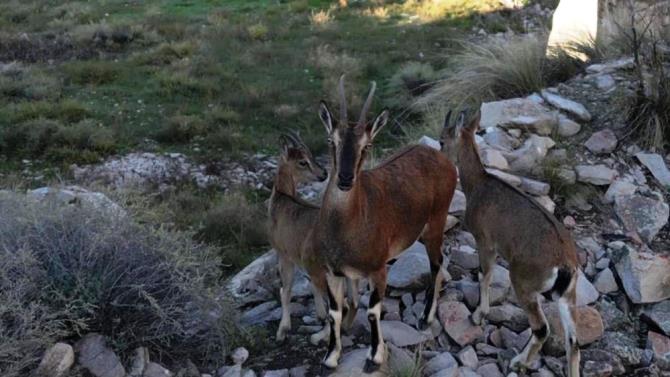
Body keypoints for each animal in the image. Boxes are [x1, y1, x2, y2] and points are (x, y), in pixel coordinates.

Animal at [270, 131, 360, 344]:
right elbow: (311, 288)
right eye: (303, 161)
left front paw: (282, 331)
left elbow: (286, 290)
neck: (281, 198)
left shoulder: (284, 254)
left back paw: (320, 337)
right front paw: (318, 315)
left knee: (340, 305)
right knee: (353, 302)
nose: (323, 174)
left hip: (324, 270)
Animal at [318, 76, 460, 370]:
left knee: (437, 262)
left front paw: (375, 356)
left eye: (367, 145)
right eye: (331, 140)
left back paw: (426, 317)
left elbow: (373, 311)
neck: (346, 227)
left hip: (437, 221)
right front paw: (331, 357)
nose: (345, 179)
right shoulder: (332, 271)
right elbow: (334, 312)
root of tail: (442, 157)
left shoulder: (378, 269)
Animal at [440, 110, 584, 374]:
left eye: (442, 141)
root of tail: (566, 265)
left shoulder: (485, 241)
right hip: (567, 296)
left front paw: (478, 315)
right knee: (573, 342)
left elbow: (484, 274)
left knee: (541, 329)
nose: (440, 158)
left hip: (523, 282)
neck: (478, 184)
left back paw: (519, 362)